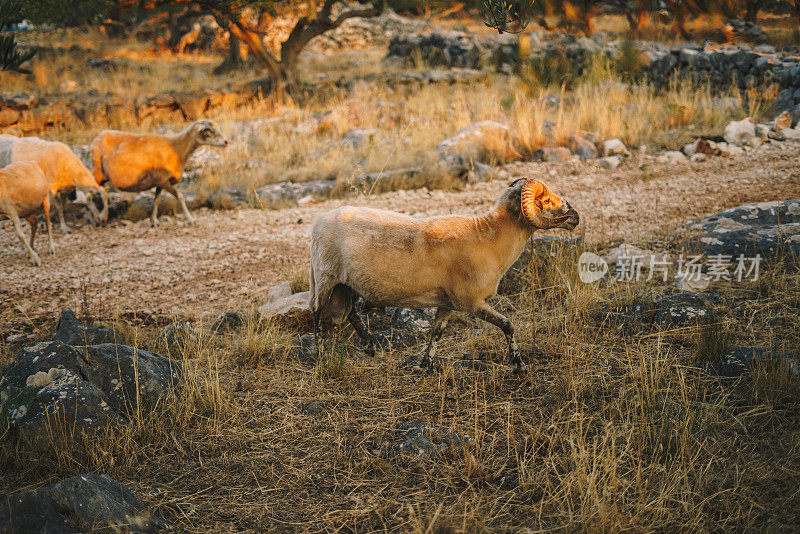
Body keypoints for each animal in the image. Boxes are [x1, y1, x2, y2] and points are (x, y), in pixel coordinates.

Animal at [90, 119, 228, 228]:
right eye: (207, 129)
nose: (226, 141)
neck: (176, 149)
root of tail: (99, 135)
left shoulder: (160, 181)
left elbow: (157, 200)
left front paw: (154, 221)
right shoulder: (162, 180)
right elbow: (180, 196)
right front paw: (191, 219)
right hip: (97, 170)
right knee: (94, 193)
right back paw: (100, 217)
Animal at [310, 179, 580, 372]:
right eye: (546, 199)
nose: (576, 216)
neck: (489, 239)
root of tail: (318, 220)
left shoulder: (447, 302)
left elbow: (437, 332)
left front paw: (425, 365)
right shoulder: (471, 302)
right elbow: (507, 324)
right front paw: (519, 365)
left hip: (347, 284)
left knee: (351, 313)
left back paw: (370, 347)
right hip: (325, 278)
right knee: (318, 313)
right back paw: (320, 353)